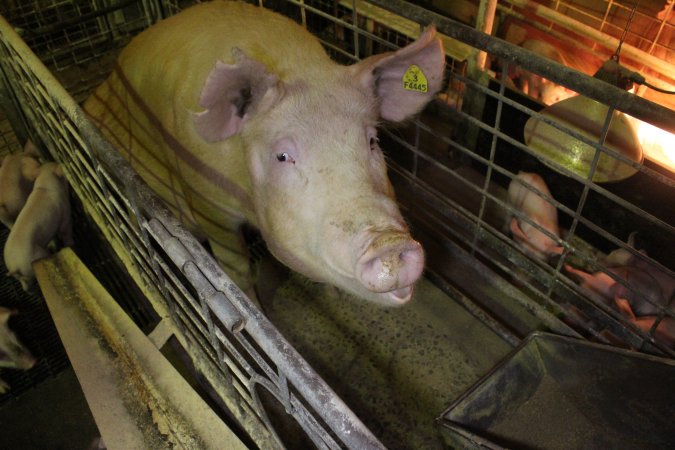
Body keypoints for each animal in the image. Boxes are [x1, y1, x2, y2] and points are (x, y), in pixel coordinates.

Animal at [83, 1, 444, 306]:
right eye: (282, 156)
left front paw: (333, 296)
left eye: (371, 141)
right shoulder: (205, 201)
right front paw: (255, 309)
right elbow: (236, 270)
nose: (391, 243)